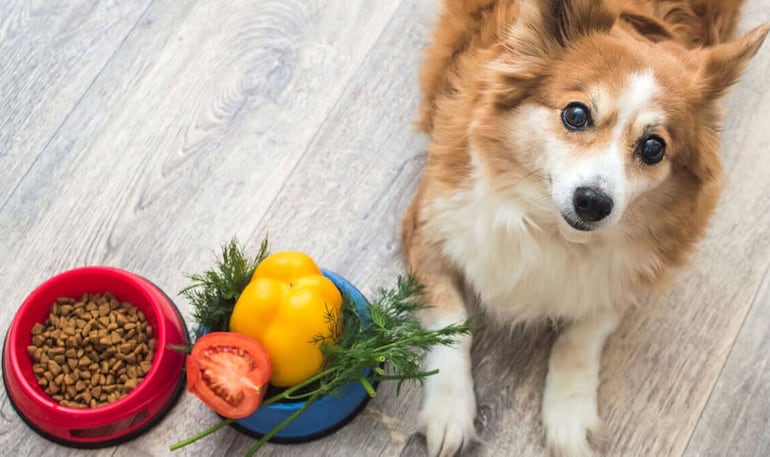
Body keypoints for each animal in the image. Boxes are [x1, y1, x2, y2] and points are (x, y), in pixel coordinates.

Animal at [400, 0, 764, 456]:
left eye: (653, 148)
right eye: (576, 114)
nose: (592, 202)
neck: (551, 229)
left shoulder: (625, 278)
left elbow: (579, 339)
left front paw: (569, 419)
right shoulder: (429, 228)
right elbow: (452, 324)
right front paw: (449, 411)